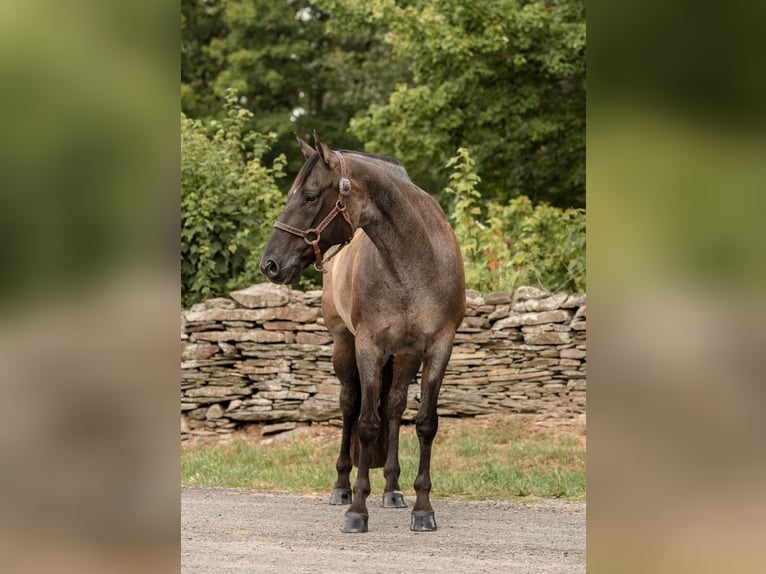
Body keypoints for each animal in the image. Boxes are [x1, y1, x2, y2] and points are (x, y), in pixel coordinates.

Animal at [262, 132, 468, 536]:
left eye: (310, 195)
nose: (270, 264)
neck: (414, 260)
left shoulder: (438, 348)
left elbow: (424, 423)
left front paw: (423, 508)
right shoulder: (368, 347)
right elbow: (367, 424)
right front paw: (356, 509)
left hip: (404, 356)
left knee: (394, 407)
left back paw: (392, 489)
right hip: (344, 346)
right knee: (349, 406)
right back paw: (341, 487)